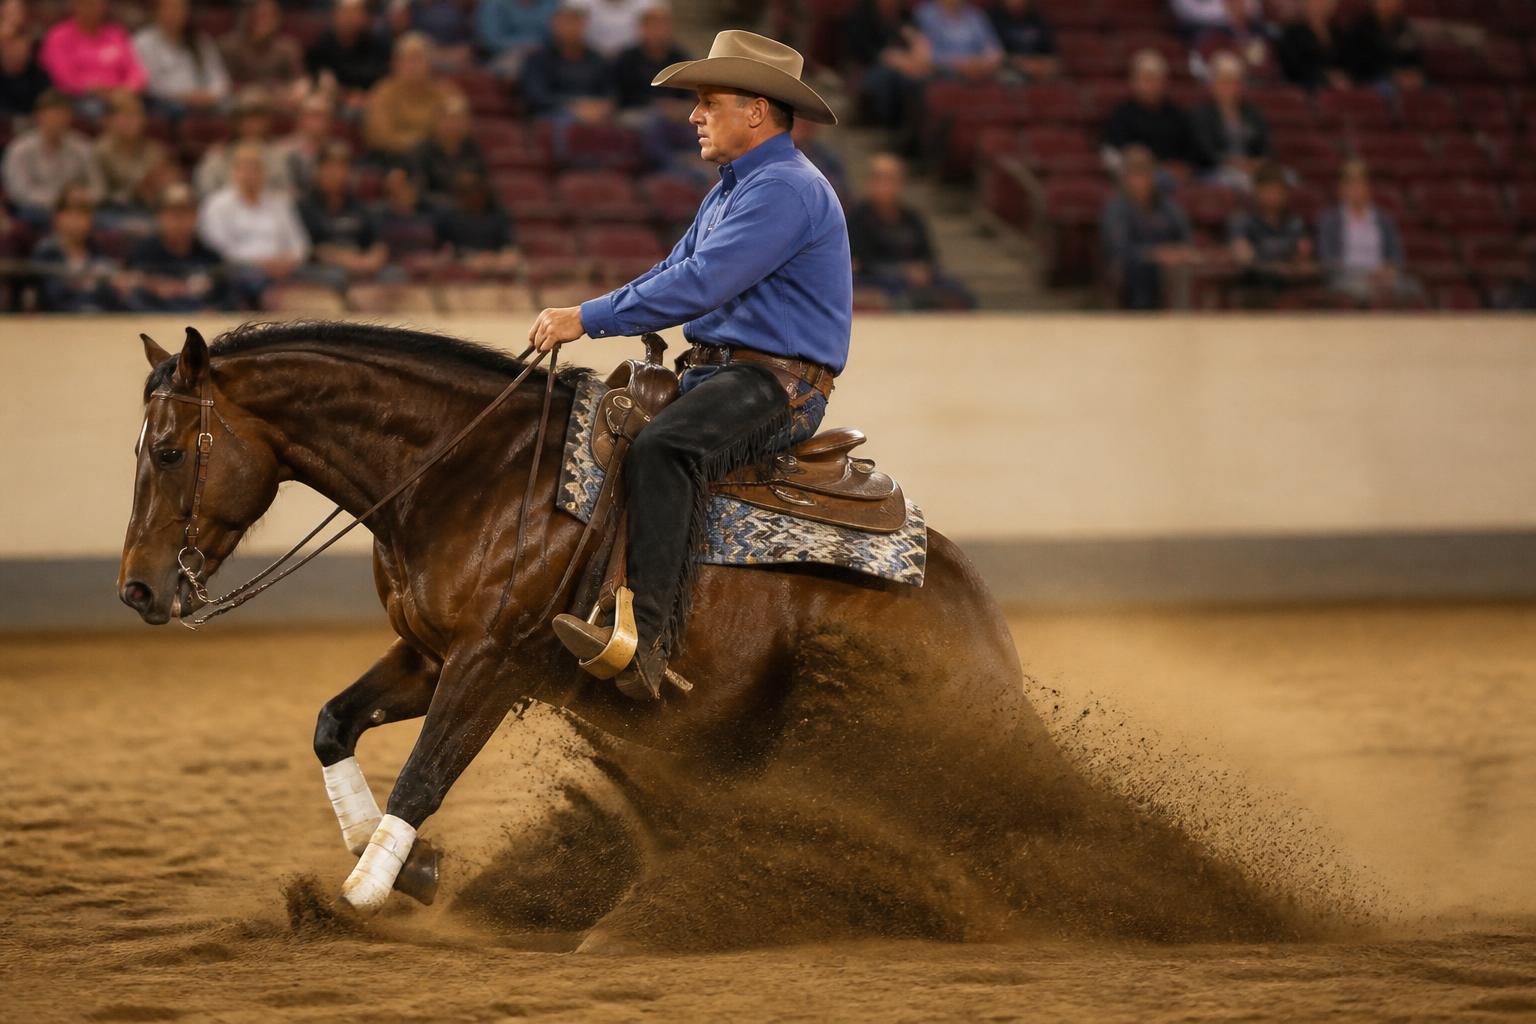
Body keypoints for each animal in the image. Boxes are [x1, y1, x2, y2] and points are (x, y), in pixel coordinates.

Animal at [117, 321, 1041, 931]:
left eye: (166, 450)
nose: (136, 589)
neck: (471, 474)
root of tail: (980, 621)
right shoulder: (428, 653)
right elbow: (332, 725)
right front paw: (408, 866)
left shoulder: (490, 663)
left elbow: (424, 774)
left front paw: (363, 894)